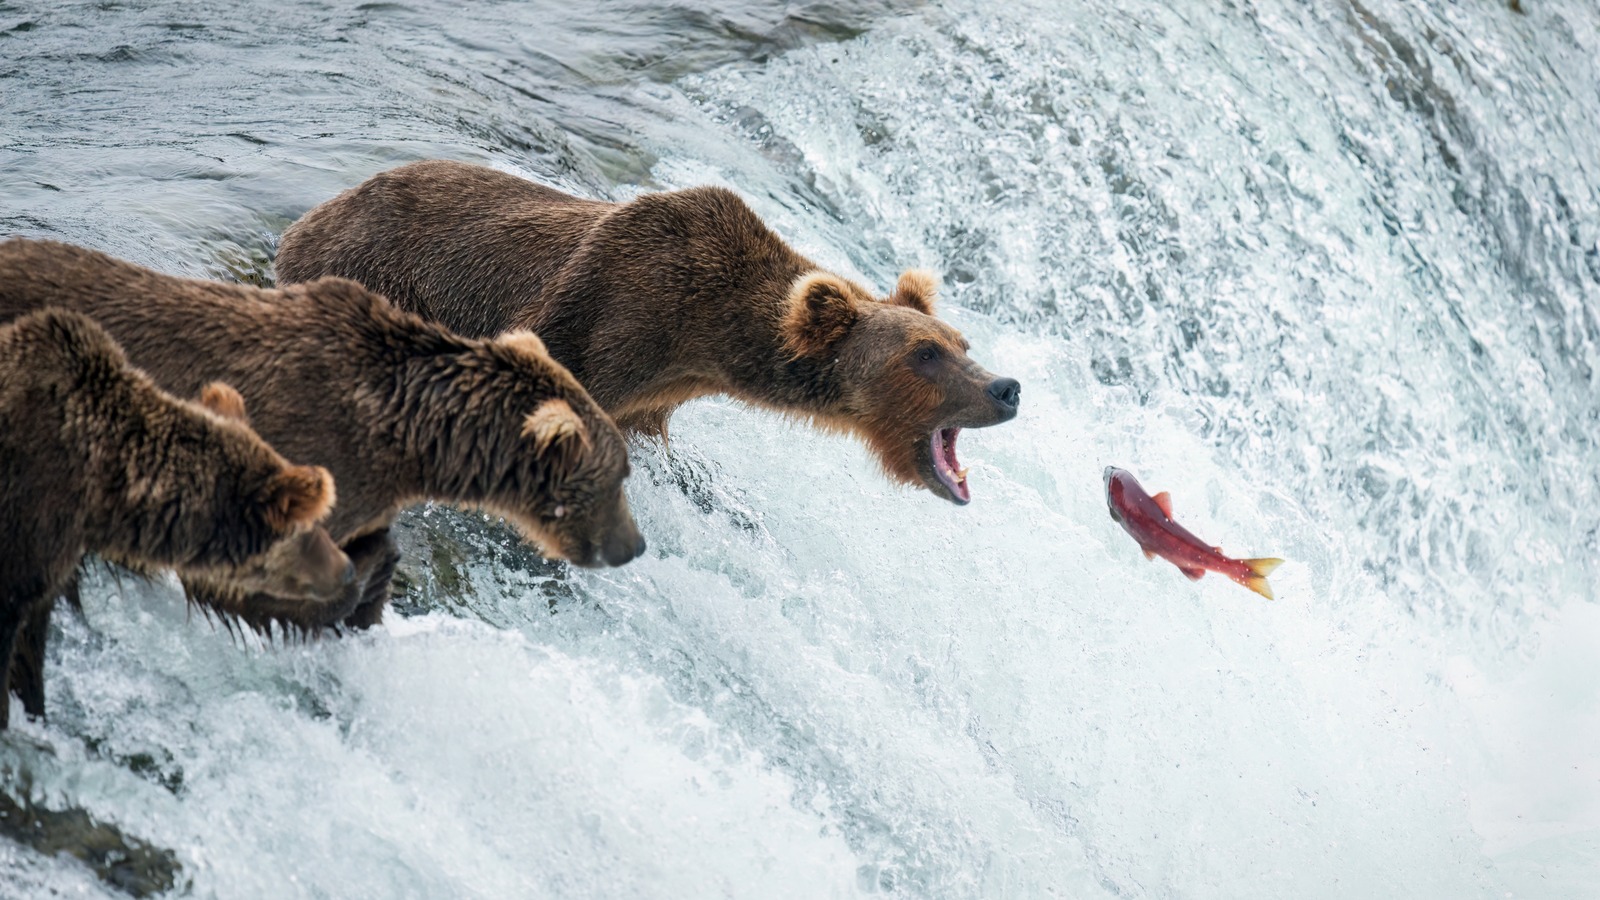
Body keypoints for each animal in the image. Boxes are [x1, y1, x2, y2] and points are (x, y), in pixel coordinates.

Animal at [276, 160, 1017, 506]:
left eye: (961, 344)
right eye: (923, 354)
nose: (1006, 388)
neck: (703, 338)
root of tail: (309, 219)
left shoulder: (655, 394)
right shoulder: (606, 322)